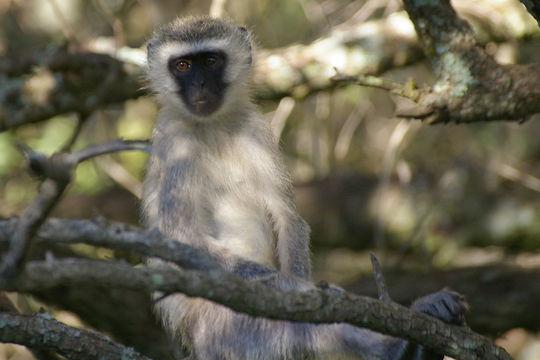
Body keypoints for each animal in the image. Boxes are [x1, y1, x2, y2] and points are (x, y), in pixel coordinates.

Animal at [142, 15, 464, 358]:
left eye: (211, 61)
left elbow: (287, 216)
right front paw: (299, 290)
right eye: (183, 66)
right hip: (222, 330)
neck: (212, 126)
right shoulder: (174, 145)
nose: (200, 85)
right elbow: (184, 240)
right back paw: (396, 346)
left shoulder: (255, 129)